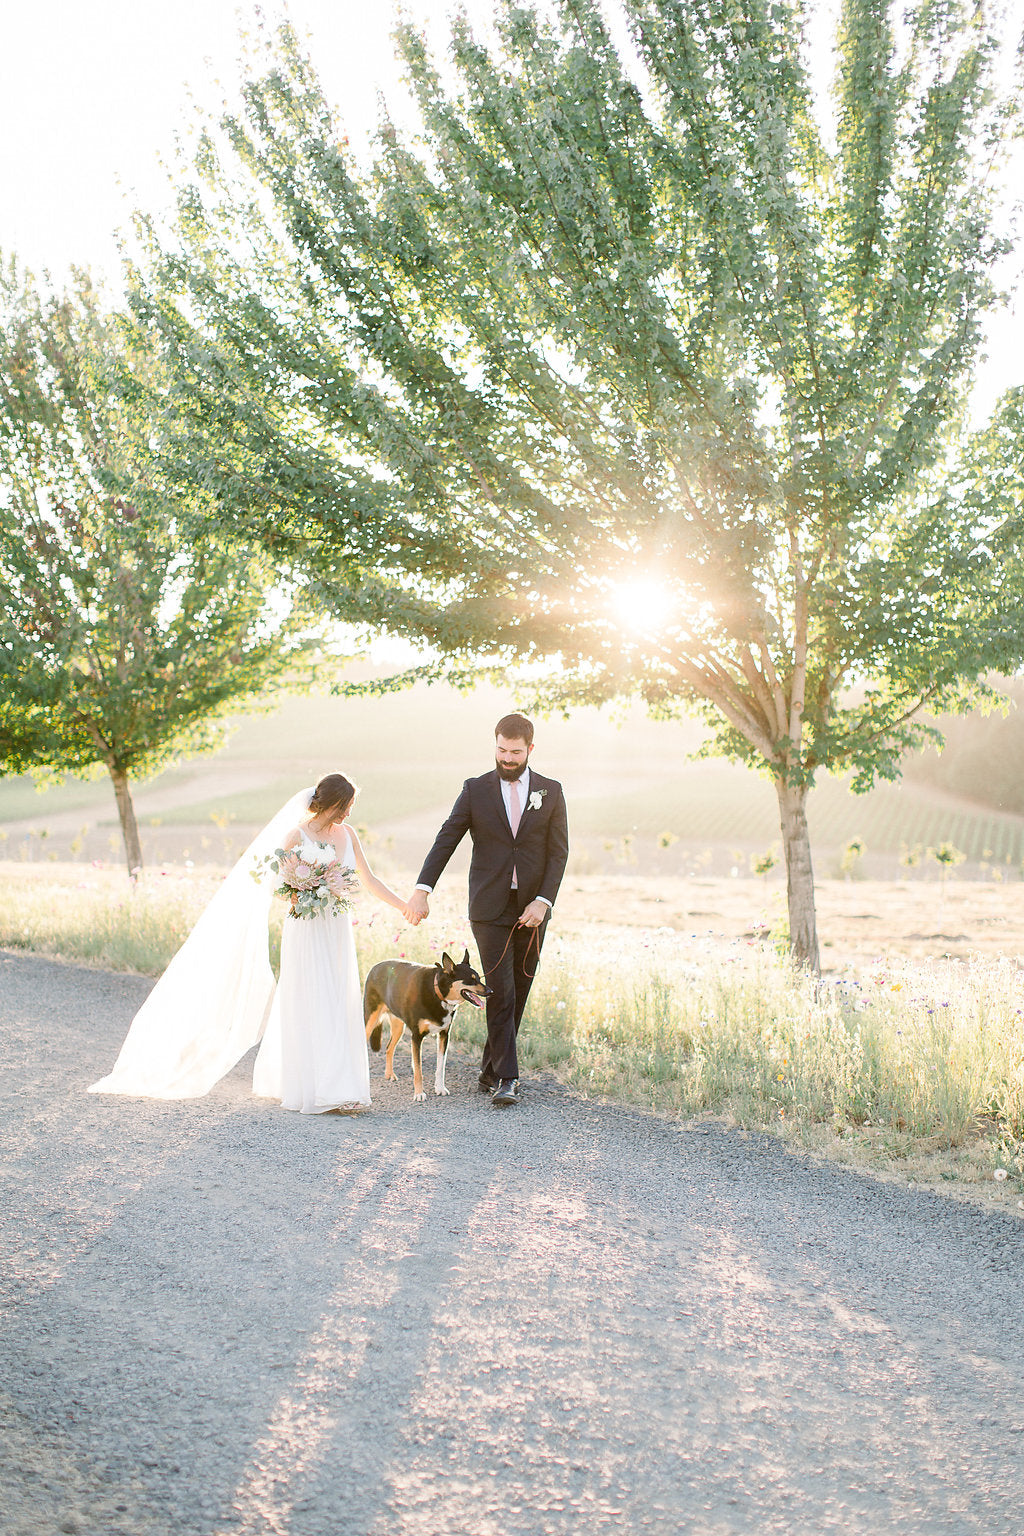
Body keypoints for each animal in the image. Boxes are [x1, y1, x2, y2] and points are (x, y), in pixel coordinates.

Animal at [362, 946, 491, 1105]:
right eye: (471, 980)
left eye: (479, 978)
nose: (491, 991)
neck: (438, 994)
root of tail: (375, 967)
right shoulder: (416, 1037)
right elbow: (418, 1070)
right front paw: (419, 1093)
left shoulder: (444, 1035)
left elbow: (440, 1067)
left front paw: (440, 1088)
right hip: (370, 1020)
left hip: (398, 1026)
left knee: (388, 1048)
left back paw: (389, 1074)